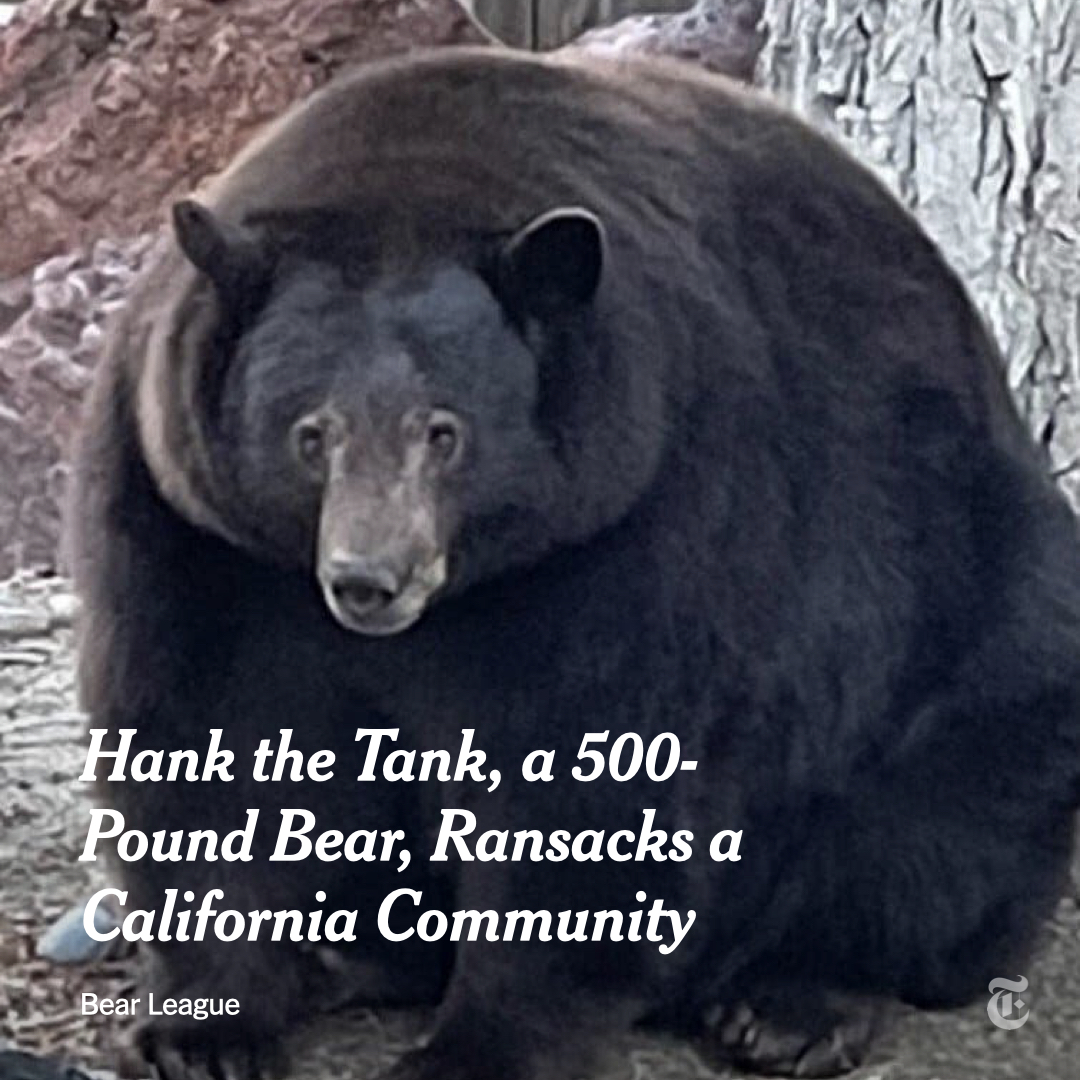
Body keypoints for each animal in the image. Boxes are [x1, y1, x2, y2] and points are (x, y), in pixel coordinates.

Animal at [70, 46, 1080, 1080]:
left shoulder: (642, 511)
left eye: (445, 432)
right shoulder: (195, 524)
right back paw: (347, 956)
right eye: (311, 433)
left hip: (972, 605)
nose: (369, 579)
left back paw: (790, 1003)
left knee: (940, 815)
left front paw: (476, 1050)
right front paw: (201, 1031)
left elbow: (585, 765)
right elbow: (207, 727)